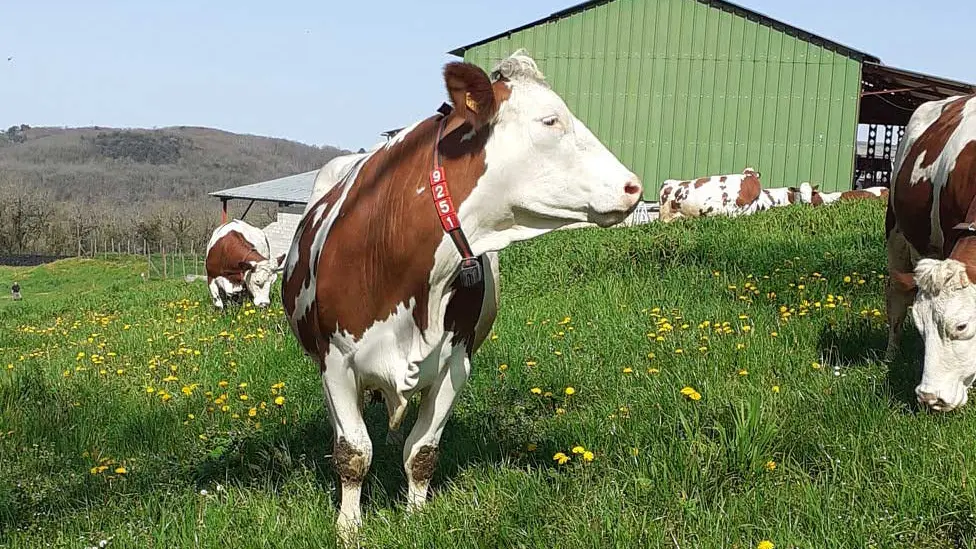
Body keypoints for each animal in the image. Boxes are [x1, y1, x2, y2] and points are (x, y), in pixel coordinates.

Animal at [282, 49, 644, 536]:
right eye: (550, 120)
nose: (633, 186)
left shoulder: (456, 361)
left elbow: (421, 452)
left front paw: (416, 518)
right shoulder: (337, 360)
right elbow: (353, 452)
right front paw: (349, 526)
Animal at [888, 93, 976, 412]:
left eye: (961, 326)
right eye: (920, 326)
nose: (930, 397)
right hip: (895, 230)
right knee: (896, 298)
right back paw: (890, 355)